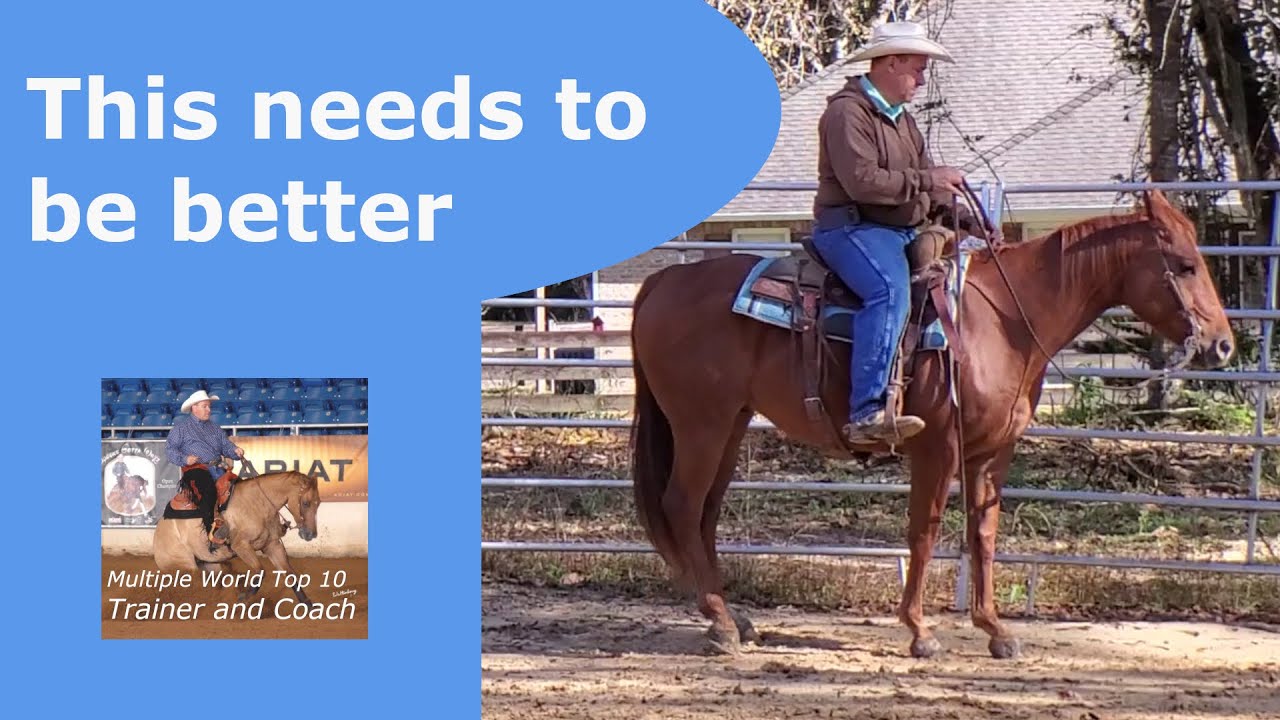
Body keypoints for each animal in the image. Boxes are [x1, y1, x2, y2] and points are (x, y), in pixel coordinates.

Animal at [153, 464, 322, 607]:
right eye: (305, 503)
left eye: (318, 502)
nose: (310, 534)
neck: (258, 503)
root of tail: (158, 533)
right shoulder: (241, 546)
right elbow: (260, 571)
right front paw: (241, 598)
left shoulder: (272, 545)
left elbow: (291, 575)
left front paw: (309, 607)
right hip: (183, 566)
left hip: (208, 563)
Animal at [628, 190, 1235, 658]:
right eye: (1185, 264)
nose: (1223, 344)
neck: (1003, 322)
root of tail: (664, 282)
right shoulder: (937, 447)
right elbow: (926, 530)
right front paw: (921, 631)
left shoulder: (991, 454)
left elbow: (982, 534)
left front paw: (995, 630)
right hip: (700, 423)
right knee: (682, 505)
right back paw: (720, 623)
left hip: (729, 423)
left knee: (704, 515)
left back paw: (734, 619)